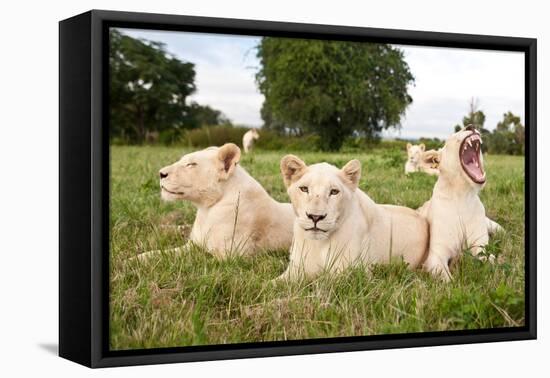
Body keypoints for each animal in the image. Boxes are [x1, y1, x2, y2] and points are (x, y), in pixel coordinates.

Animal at [137, 142, 296, 260]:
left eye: (191, 164)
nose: (161, 173)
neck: (206, 210)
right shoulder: (193, 244)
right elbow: (160, 253)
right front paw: (135, 259)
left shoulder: (232, 256)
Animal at [276, 154, 432, 280]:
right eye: (304, 189)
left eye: (334, 191)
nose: (315, 217)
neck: (319, 244)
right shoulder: (295, 270)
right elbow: (274, 285)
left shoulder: (353, 274)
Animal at [418, 126, 504, 280]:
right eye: (452, 137)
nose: (471, 126)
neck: (462, 195)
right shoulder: (436, 256)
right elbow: (447, 280)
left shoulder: (480, 247)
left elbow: (491, 260)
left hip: (495, 227)